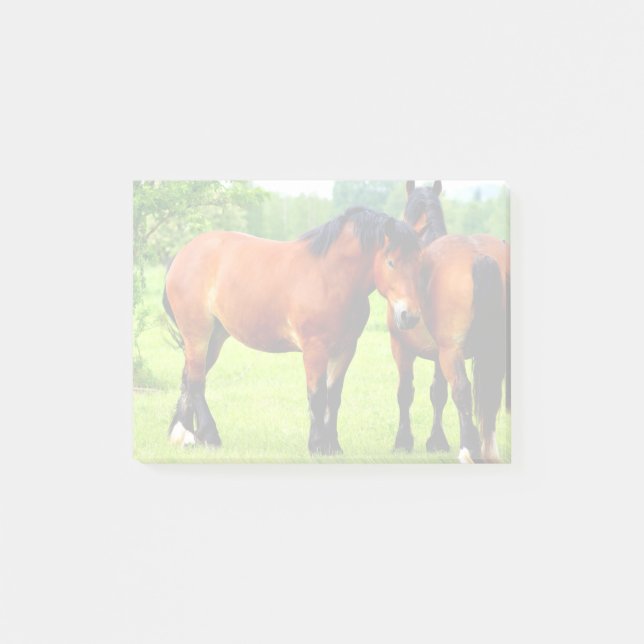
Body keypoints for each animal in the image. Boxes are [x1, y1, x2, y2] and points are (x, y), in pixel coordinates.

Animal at [163, 207, 423, 455]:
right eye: (391, 262)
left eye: (418, 263)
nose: (409, 316)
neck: (330, 277)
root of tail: (183, 254)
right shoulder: (314, 349)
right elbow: (317, 396)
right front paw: (317, 446)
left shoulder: (345, 349)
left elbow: (333, 397)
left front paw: (333, 446)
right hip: (198, 334)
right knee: (196, 382)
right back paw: (209, 436)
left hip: (215, 338)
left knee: (188, 379)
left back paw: (185, 436)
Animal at [388, 181, 510, 463]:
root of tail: (479, 255)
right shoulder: (437, 355)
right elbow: (438, 393)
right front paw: (437, 441)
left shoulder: (401, 347)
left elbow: (405, 392)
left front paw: (403, 441)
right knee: (490, 393)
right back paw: (489, 449)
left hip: (452, 352)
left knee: (462, 390)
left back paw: (469, 449)